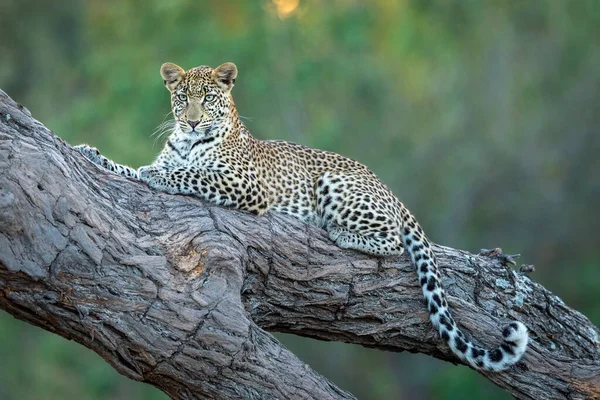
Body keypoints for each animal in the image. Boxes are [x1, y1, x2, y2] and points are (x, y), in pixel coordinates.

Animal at [74, 61, 524, 370]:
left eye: (208, 98)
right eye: (183, 98)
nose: (193, 121)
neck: (186, 142)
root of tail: (391, 191)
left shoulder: (246, 185)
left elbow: (189, 174)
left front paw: (159, 174)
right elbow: (130, 169)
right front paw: (90, 153)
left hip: (335, 182)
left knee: (393, 241)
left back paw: (339, 233)